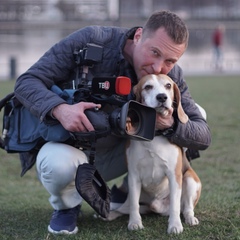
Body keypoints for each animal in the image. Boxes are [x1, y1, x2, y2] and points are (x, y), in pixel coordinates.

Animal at [108, 74, 202, 233]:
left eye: (168, 86)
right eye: (148, 87)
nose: (162, 97)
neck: (154, 134)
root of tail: (158, 208)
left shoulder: (174, 176)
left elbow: (175, 205)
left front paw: (175, 225)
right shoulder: (133, 176)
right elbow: (134, 205)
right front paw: (135, 222)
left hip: (190, 179)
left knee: (186, 208)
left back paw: (190, 218)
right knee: (126, 207)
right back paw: (110, 214)